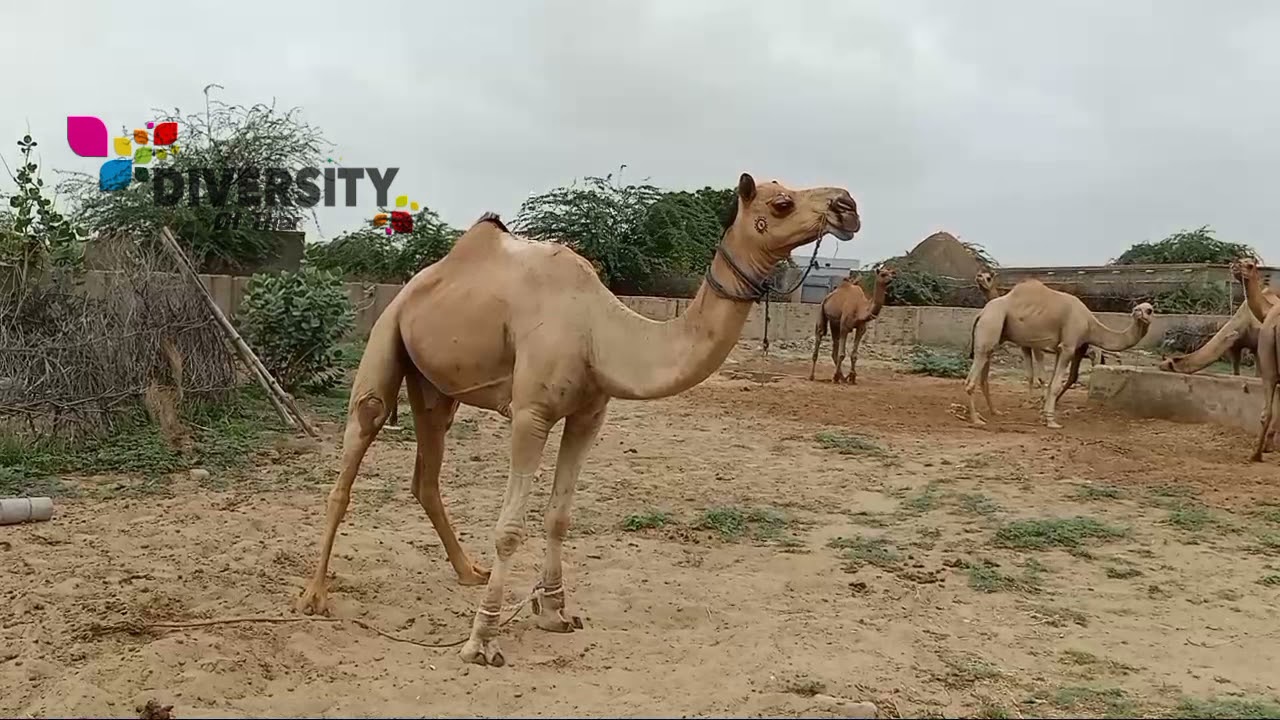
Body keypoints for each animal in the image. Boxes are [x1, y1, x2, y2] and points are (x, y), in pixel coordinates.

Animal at [294, 173, 861, 667]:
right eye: (781, 202)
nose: (848, 205)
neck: (599, 331)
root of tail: (416, 282)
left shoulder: (590, 414)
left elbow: (559, 516)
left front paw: (554, 612)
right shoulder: (531, 414)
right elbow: (509, 528)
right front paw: (482, 640)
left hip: (438, 388)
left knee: (426, 476)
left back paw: (468, 570)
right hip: (386, 335)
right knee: (354, 451)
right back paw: (314, 595)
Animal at [965, 279, 1154, 429]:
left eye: (1149, 310)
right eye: (1139, 308)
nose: (1137, 312)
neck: (1090, 324)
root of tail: (981, 313)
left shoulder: (1059, 349)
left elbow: (1050, 383)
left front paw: (1044, 415)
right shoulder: (1068, 346)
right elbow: (1054, 384)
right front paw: (1051, 421)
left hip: (994, 332)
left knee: (984, 372)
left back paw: (993, 412)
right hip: (992, 323)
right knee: (971, 379)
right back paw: (976, 419)